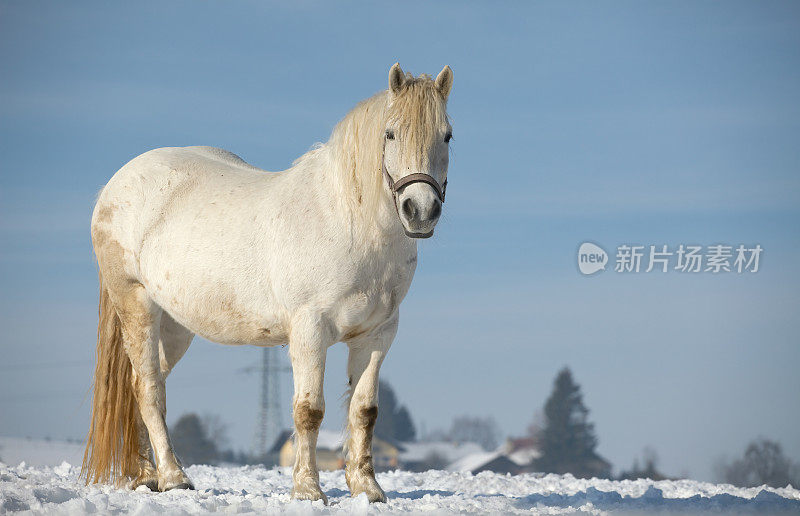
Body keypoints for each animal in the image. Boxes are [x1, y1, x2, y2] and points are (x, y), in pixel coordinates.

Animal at [84, 62, 454, 502]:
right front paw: (308, 490)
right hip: (136, 303)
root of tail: (115, 184)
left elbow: (364, 411)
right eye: (391, 134)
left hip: (174, 325)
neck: (348, 221)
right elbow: (309, 410)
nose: (421, 211)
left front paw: (368, 489)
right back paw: (174, 478)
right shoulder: (309, 330)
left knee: (141, 386)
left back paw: (146, 475)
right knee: (147, 387)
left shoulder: (378, 334)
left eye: (447, 134)